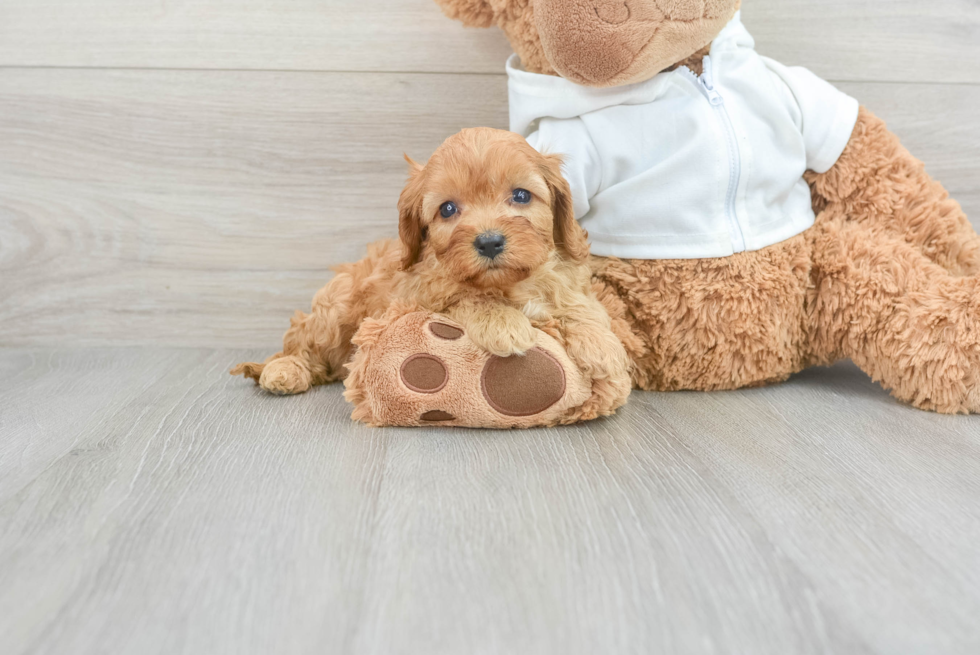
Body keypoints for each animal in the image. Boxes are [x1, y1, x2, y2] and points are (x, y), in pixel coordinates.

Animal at [234, 127, 632, 428]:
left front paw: (602, 345)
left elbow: (579, 304)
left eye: (521, 195)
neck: (508, 283)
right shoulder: (418, 293)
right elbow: (465, 296)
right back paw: (283, 370)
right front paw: (503, 322)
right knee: (302, 345)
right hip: (335, 307)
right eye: (448, 209)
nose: (489, 242)